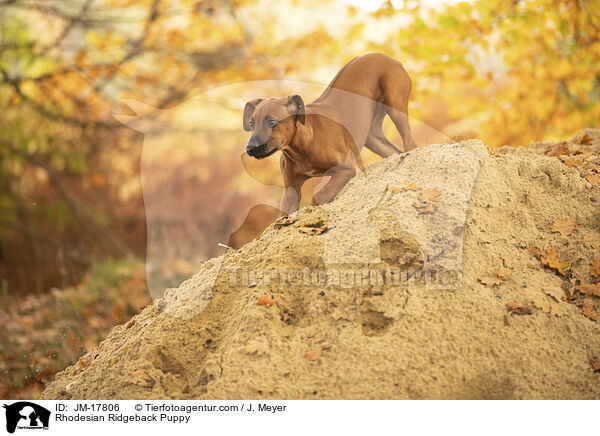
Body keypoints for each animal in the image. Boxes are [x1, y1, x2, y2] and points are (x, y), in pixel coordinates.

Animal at [244, 52, 418, 215]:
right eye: (251, 124)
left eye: (272, 122)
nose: (250, 148)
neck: (300, 148)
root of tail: (392, 59)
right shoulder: (290, 189)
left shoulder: (346, 168)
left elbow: (320, 196)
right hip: (371, 136)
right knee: (394, 151)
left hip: (394, 103)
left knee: (410, 143)